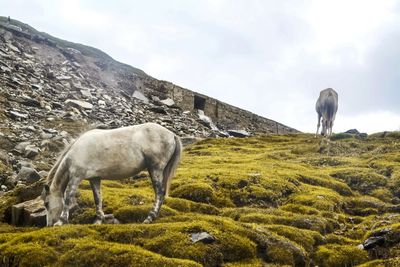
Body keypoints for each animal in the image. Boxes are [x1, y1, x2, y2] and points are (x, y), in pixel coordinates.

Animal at [41, 123, 182, 226]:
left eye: (46, 204)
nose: (48, 224)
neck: (76, 151)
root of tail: (172, 135)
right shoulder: (94, 179)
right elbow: (98, 198)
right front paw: (99, 220)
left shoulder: (76, 177)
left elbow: (68, 197)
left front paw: (61, 221)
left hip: (155, 169)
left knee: (159, 193)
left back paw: (149, 218)